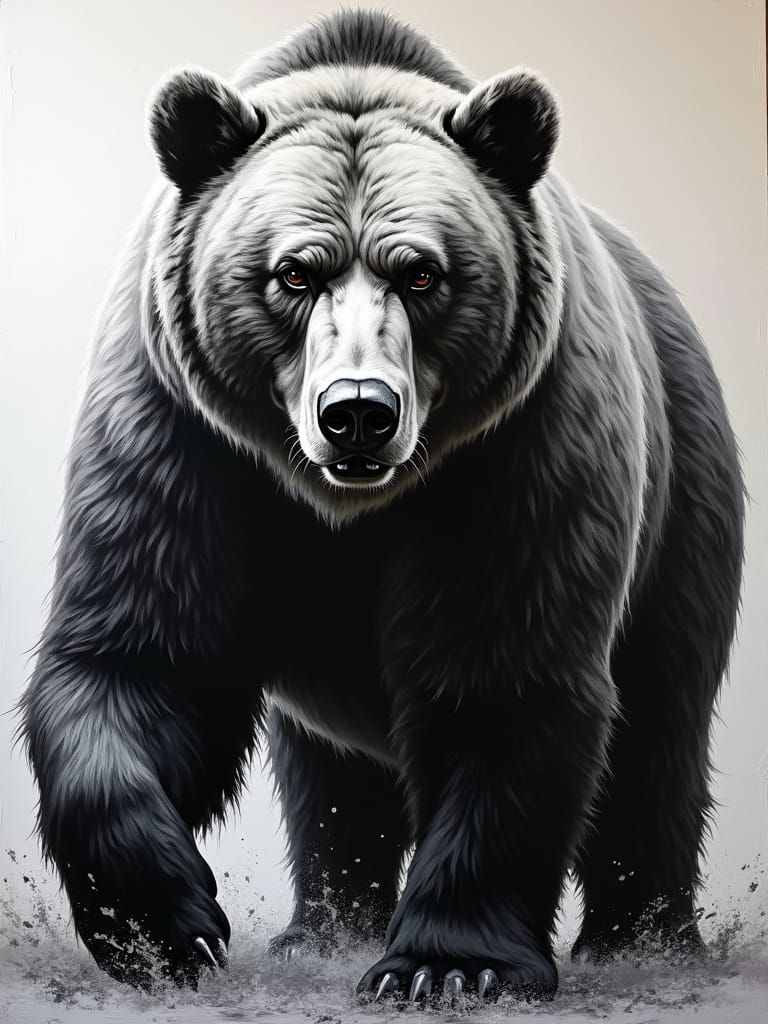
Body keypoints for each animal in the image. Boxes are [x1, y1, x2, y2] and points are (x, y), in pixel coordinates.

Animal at [20, 7, 745, 1003]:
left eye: (422, 274)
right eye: (294, 272)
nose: (358, 411)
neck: (348, 509)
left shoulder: (515, 454)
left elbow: (501, 679)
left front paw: (448, 963)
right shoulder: (184, 443)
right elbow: (141, 661)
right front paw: (166, 926)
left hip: (682, 494)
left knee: (660, 730)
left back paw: (644, 939)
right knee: (326, 773)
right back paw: (320, 927)